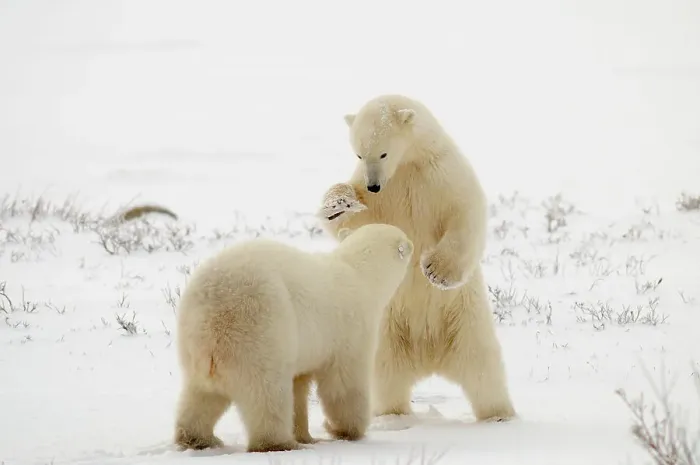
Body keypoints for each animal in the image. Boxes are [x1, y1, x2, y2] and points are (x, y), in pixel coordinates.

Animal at [173, 223, 414, 453]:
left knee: (200, 394)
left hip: (194, 342)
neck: (357, 273)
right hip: (260, 327)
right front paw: (343, 430)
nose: (412, 245)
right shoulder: (350, 330)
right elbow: (344, 383)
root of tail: (212, 307)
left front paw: (306, 434)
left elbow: (299, 383)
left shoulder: (308, 347)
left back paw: (198, 439)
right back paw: (278, 443)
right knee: (267, 393)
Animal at [317, 94, 517, 423]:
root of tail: (430, 357)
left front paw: (436, 270)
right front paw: (339, 204)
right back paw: (391, 414)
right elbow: (358, 220)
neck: (409, 163)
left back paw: (499, 415)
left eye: (383, 153)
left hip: (466, 320)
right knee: (385, 373)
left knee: (484, 369)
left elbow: (464, 212)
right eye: (359, 154)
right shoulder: (387, 194)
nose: (373, 184)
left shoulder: (442, 174)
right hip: (387, 329)